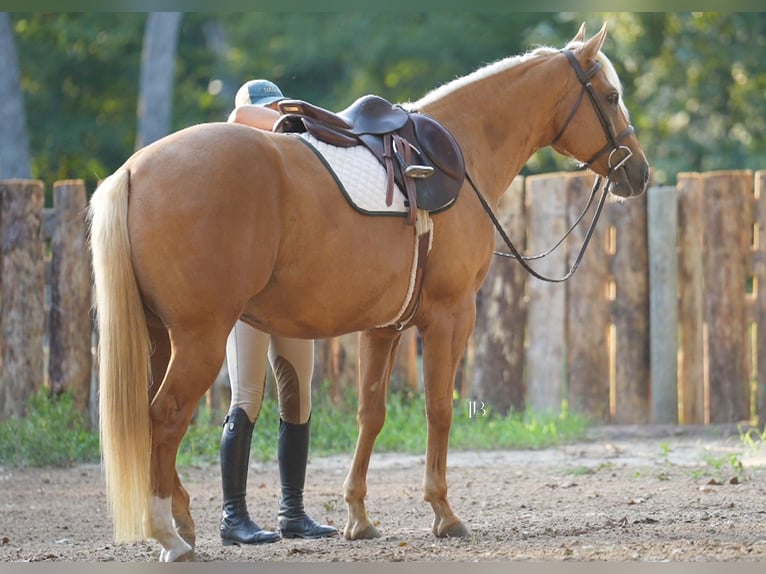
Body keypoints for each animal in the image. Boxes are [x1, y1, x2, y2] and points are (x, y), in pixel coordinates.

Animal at [88, 23, 649, 561]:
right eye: (610, 95)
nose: (638, 171)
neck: (459, 157)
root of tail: (134, 169)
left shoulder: (384, 328)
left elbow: (370, 413)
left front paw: (358, 517)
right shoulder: (449, 317)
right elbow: (439, 408)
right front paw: (443, 513)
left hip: (159, 338)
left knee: (150, 420)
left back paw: (183, 520)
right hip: (200, 339)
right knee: (166, 417)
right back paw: (169, 534)